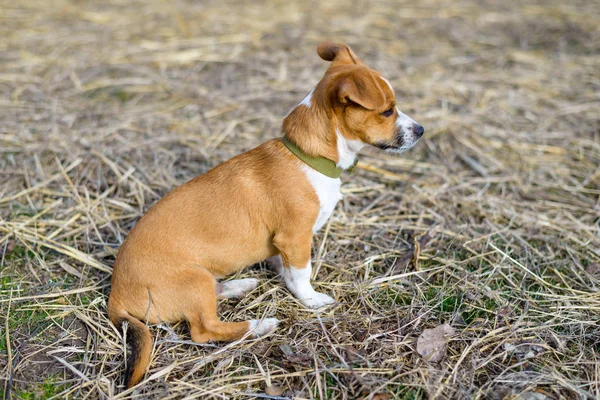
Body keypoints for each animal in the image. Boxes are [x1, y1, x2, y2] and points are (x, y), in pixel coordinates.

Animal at [109, 41, 426, 388]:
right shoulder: (295, 237)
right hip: (194, 282)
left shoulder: (282, 244)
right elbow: (301, 274)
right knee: (204, 329)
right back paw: (259, 325)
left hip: (201, 281)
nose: (421, 130)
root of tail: (115, 298)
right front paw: (312, 300)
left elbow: (285, 268)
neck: (308, 157)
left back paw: (239, 286)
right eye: (388, 111)